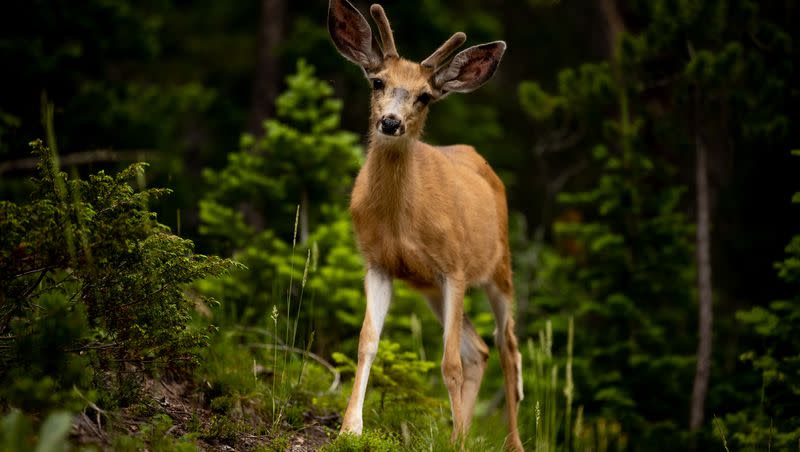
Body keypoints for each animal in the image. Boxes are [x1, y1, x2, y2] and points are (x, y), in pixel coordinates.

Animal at [326, 1, 524, 450]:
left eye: (425, 96)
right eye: (377, 81)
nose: (391, 122)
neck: (402, 219)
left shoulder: (455, 267)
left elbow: (448, 364)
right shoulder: (377, 263)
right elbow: (367, 342)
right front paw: (350, 427)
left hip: (498, 269)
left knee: (507, 346)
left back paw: (510, 442)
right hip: (431, 289)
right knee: (479, 350)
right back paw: (459, 434)